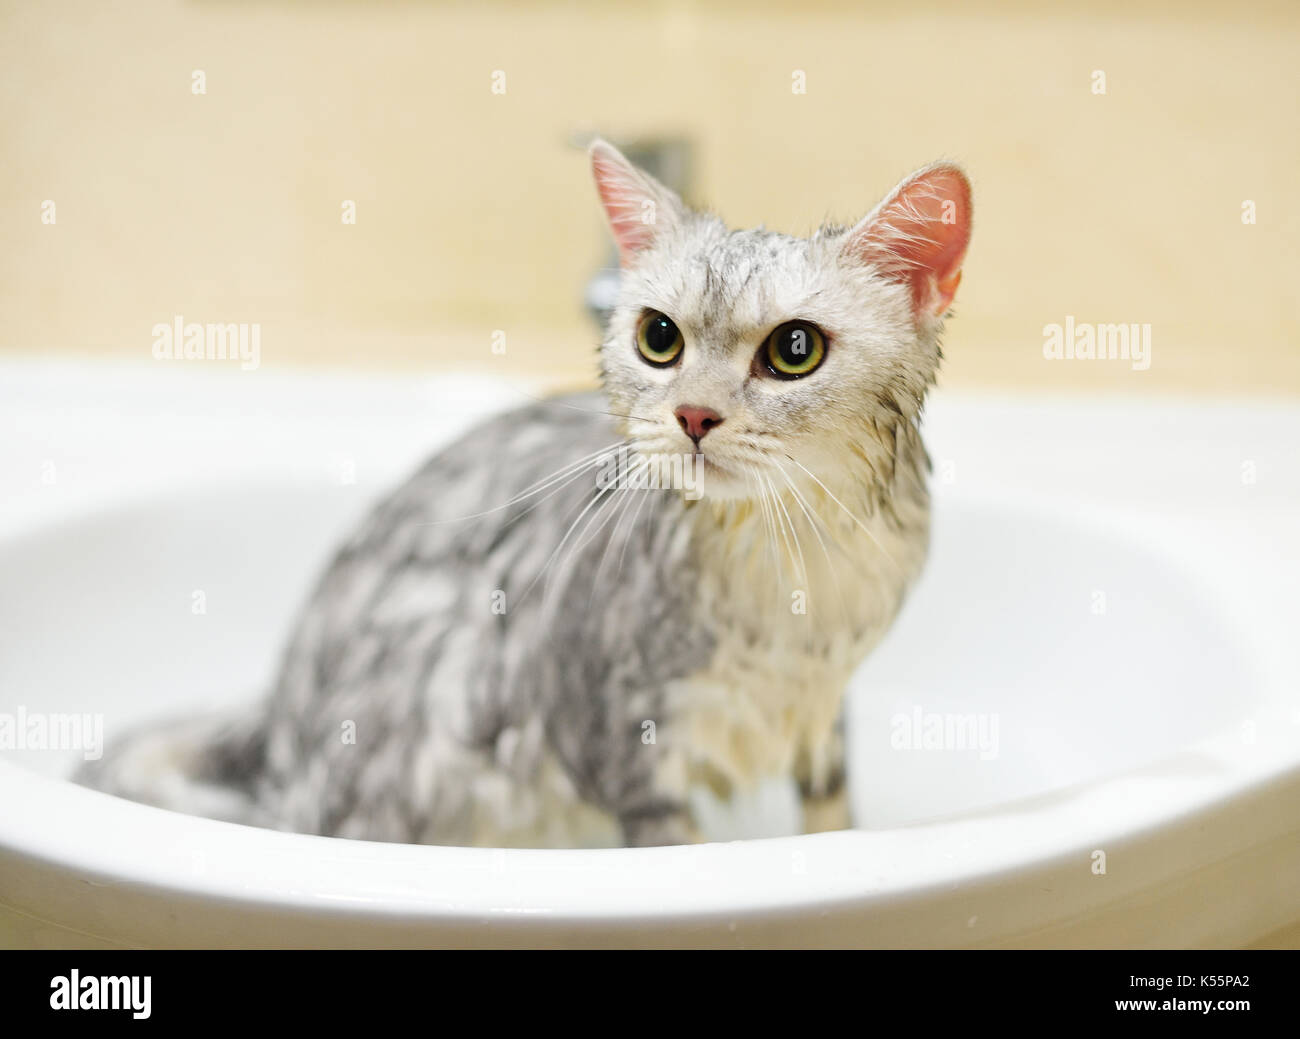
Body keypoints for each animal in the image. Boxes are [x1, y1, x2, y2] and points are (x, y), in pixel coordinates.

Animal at [76, 142, 972, 847]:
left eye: (793, 350)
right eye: (659, 338)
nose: (693, 415)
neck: (795, 581)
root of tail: (278, 725)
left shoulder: (825, 719)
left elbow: (833, 818)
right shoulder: (622, 750)